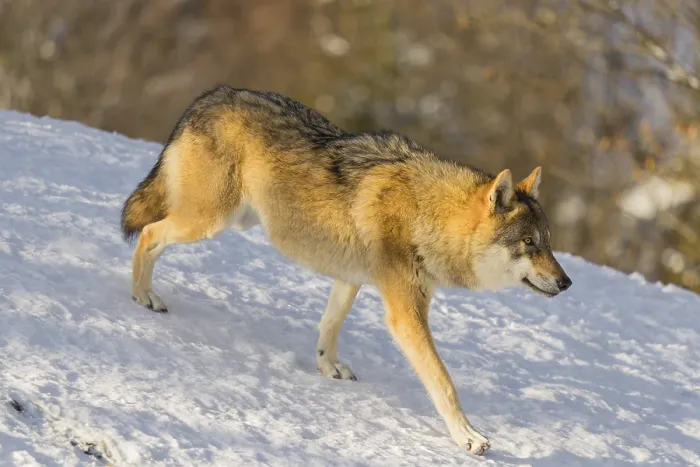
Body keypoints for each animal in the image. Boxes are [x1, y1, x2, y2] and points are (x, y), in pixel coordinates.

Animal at [120, 85, 572, 456]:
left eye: (549, 242)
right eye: (528, 244)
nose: (567, 283)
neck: (427, 214)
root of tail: (211, 95)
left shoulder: (351, 277)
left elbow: (330, 325)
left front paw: (327, 368)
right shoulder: (405, 311)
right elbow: (443, 381)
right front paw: (469, 437)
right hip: (210, 221)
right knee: (149, 233)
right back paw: (142, 296)